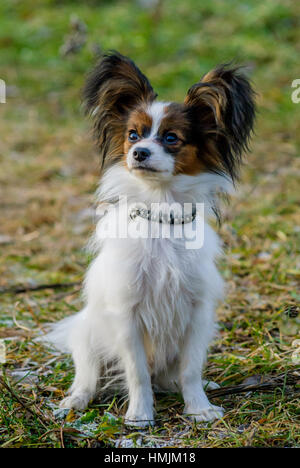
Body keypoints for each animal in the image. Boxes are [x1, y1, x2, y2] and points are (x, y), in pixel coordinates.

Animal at [44, 53, 255, 426]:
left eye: (171, 138)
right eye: (133, 135)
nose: (139, 152)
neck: (161, 216)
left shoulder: (198, 313)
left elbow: (190, 370)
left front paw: (199, 408)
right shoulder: (127, 315)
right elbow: (137, 373)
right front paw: (140, 415)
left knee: (175, 375)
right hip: (87, 336)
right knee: (88, 376)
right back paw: (74, 402)